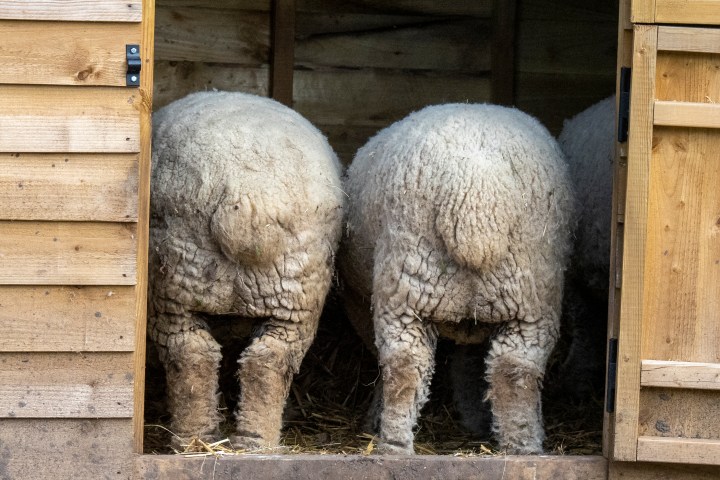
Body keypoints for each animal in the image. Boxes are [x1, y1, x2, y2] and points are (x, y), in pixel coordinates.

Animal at [147, 91, 345, 450]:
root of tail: (245, 194)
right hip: (291, 289)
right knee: (264, 359)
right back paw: (246, 441)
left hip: (180, 279)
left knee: (194, 353)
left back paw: (202, 440)